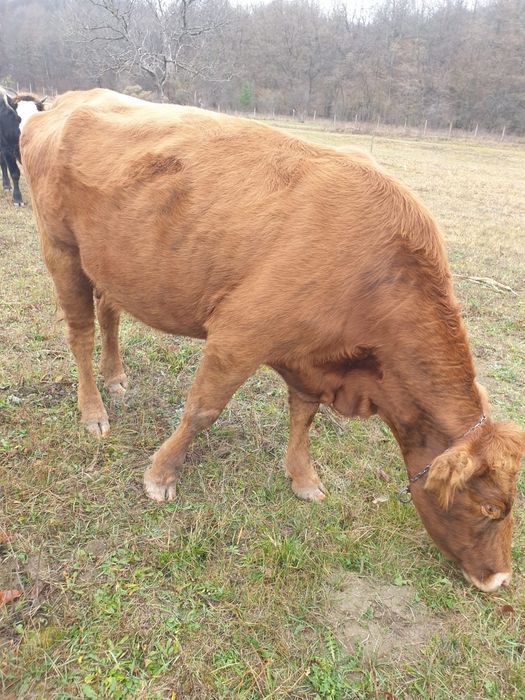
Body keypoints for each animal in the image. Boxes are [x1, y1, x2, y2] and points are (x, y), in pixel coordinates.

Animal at [21, 89, 524, 593]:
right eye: (490, 508)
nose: (500, 578)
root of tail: (71, 100)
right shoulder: (238, 334)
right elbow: (202, 410)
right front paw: (160, 475)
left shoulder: (308, 355)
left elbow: (304, 415)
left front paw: (303, 478)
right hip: (59, 247)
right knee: (80, 333)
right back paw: (93, 411)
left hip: (109, 264)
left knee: (109, 312)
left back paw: (116, 378)